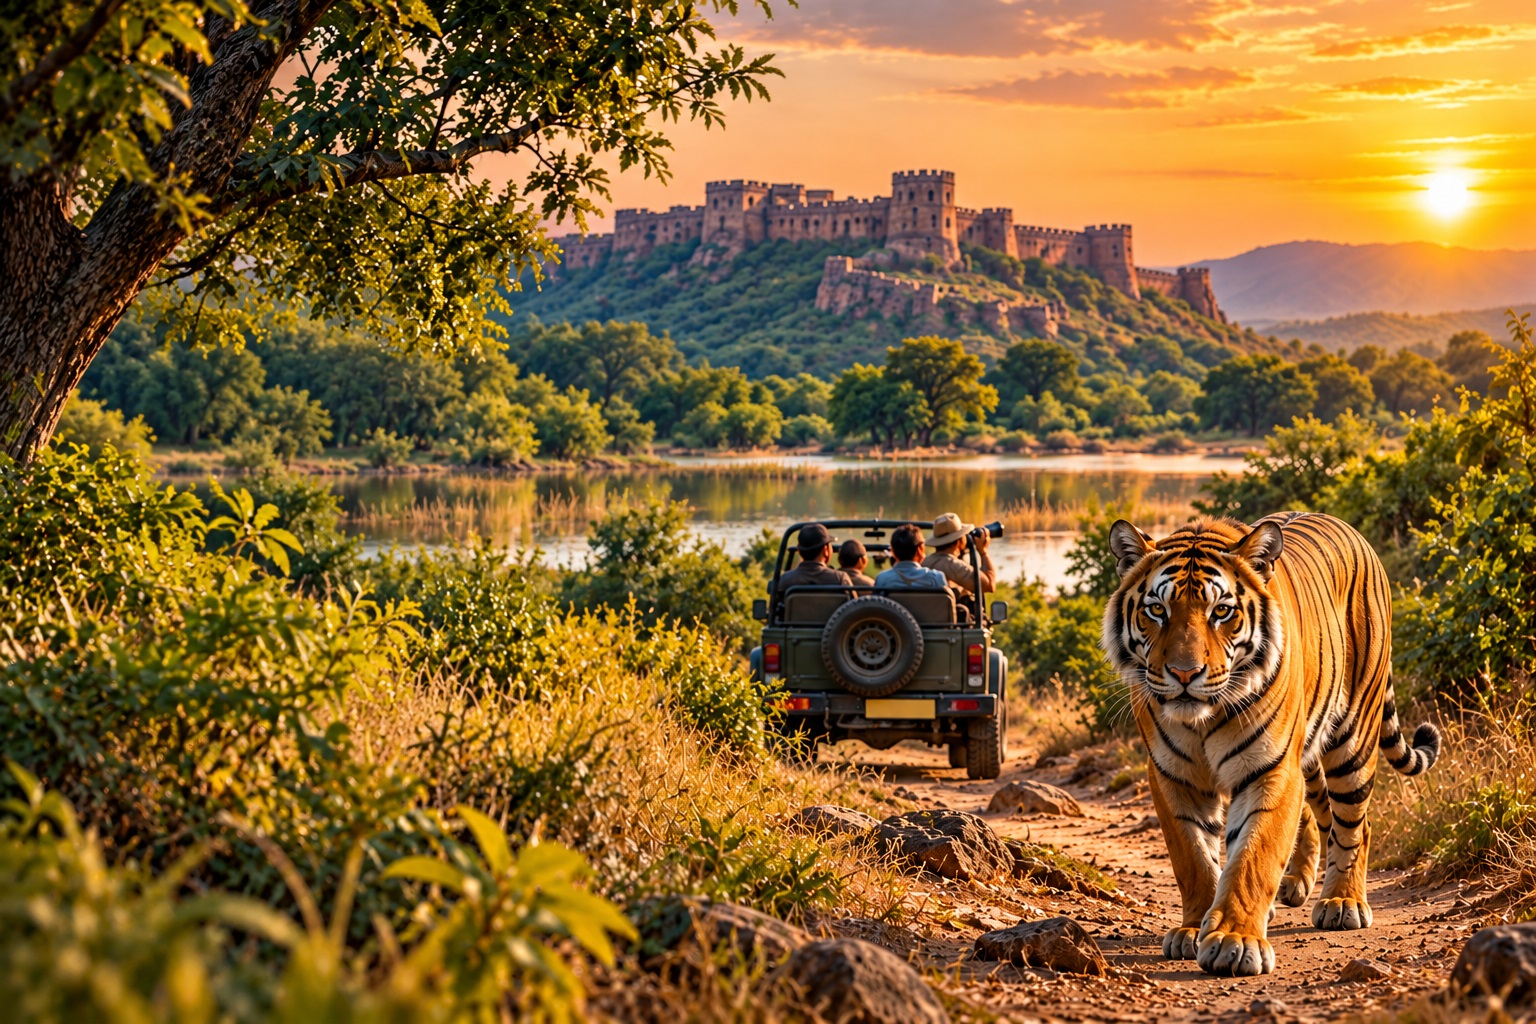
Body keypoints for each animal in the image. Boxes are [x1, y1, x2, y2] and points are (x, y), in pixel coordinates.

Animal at [1100, 512, 1440, 977]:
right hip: (1310, 753)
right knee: (1319, 813)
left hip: (1352, 738)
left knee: (1356, 822)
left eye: (1221, 612)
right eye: (1157, 610)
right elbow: (1194, 857)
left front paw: (1235, 940)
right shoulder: (1172, 774)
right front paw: (1193, 928)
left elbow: (1253, 856)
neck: (1202, 719)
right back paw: (1295, 884)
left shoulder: (1271, 767)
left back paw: (1343, 901)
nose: (1185, 674)